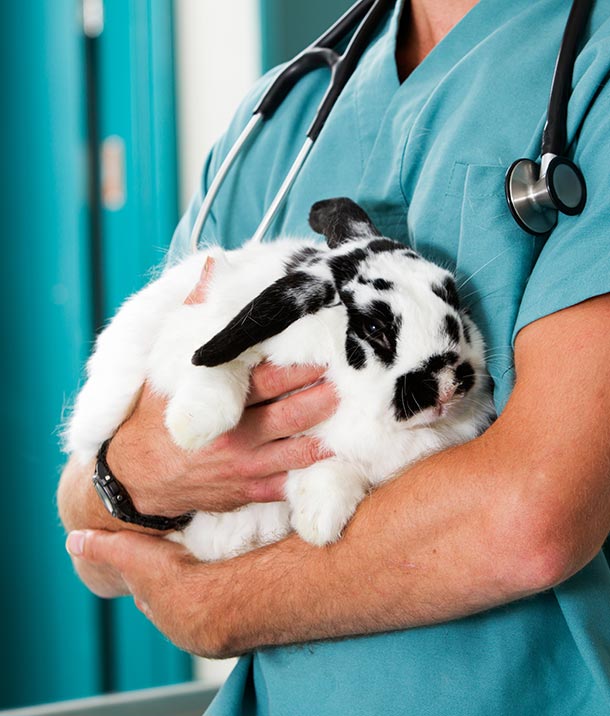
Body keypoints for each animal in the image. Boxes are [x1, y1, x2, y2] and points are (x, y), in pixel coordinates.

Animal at [66, 197, 495, 561]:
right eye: (374, 327)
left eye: (452, 296)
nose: (446, 384)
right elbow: (218, 366)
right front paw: (194, 427)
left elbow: (333, 467)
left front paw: (319, 520)